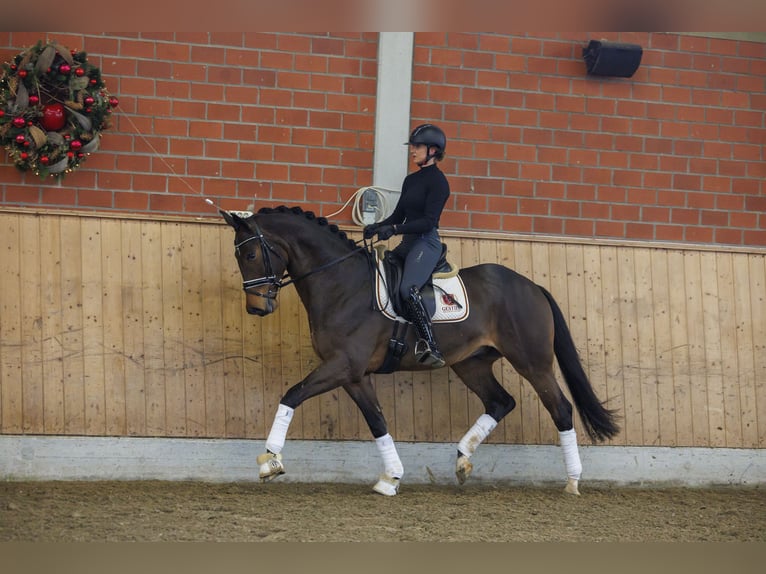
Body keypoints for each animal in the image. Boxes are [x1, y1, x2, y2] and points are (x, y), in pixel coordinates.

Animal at [219, 208, 620, 500]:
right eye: (238, 255)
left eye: (251, 253)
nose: (257, 307)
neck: (342, 285)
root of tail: (532, 286)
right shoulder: (354, 375)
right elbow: (377, 421)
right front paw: (391, 478)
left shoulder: (341, 366)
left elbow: (291, 395)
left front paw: (270, 461)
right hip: (471, 363)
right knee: (500, 402)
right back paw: (462, 462)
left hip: (532, 363)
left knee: (561, 409)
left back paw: (573, 481)